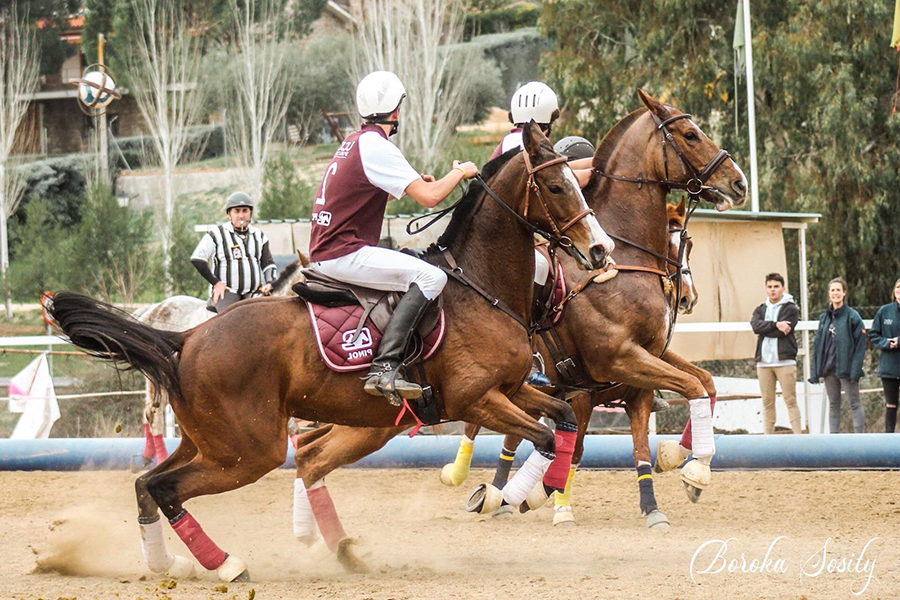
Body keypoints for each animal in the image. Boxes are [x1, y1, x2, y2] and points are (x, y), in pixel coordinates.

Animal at [47, 125, 612, 580]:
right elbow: (543, 433)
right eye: (558, 186)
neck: (481, 285)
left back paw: (182, 562)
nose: (601, 251)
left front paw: (538, 490)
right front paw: (515, 494)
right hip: (248, 450)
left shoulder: (511, 390)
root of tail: (188, 338)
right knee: (170, 487)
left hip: (220, 439)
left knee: (153, 483)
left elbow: (561, 420)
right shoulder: (477, 399)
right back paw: (225, 564)